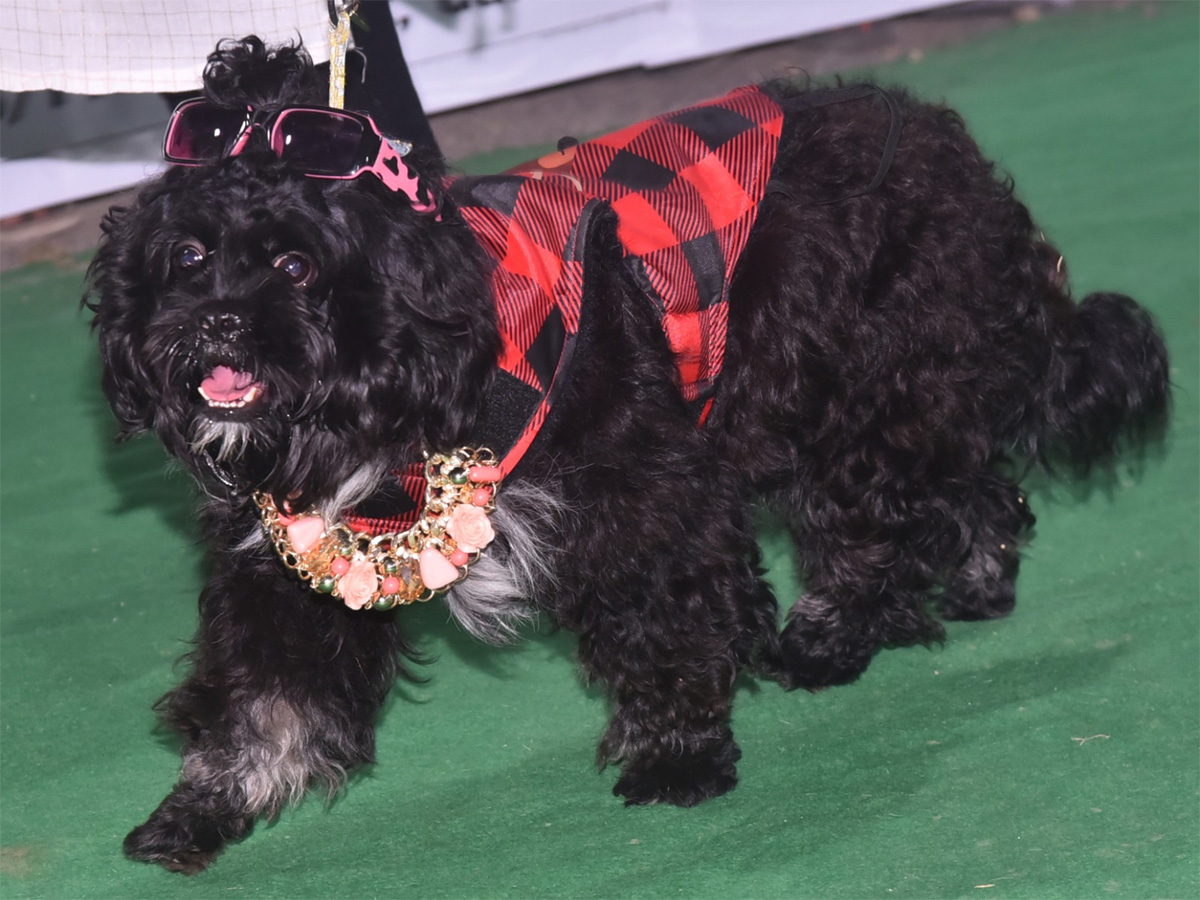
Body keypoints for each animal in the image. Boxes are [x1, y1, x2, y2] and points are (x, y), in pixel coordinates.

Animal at [87, 40, 1171, 873]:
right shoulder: (292, 556)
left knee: (882, 517)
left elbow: (665, 625)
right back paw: (980, 579)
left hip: (855, 390)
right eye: (188, 258)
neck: (412, 366)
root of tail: (954, 153)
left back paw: (837, 634)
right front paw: (203, 809)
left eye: (297, 265)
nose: (213, 323)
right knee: (964, 482)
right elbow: (262, 695)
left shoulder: (643, 492)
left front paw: (678, 756)